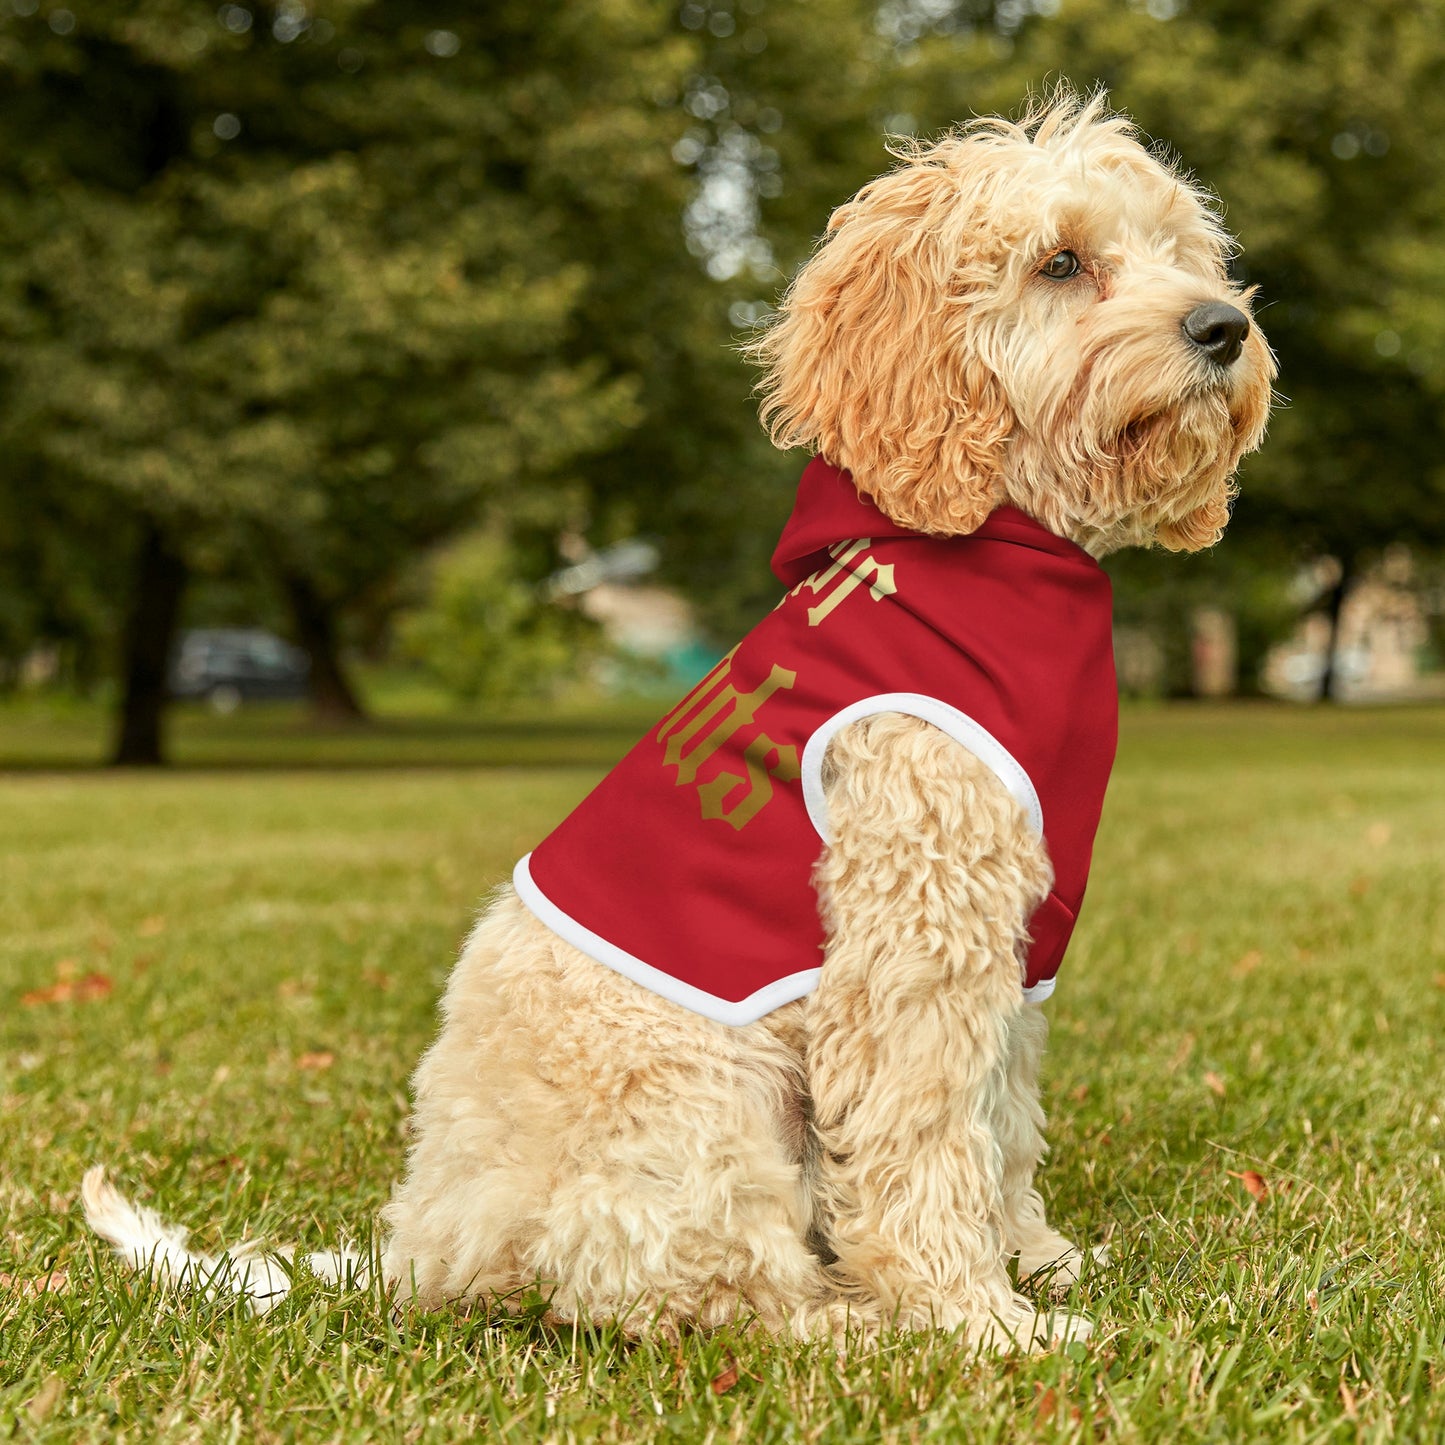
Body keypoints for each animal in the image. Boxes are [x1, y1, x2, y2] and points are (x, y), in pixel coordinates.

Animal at [84, 93, 1271, 1352]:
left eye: (1180, 252)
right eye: (1059, 262)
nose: (1222, 327)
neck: (997, 548)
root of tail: (424, 1246)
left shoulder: (1012, 944)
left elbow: (999, 1121)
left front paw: (1034, 1260)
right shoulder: (913, 935)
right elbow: (924, 1138)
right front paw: (976, 1318)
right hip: (705, 1103)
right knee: (699, 1291)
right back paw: (852, 1322)